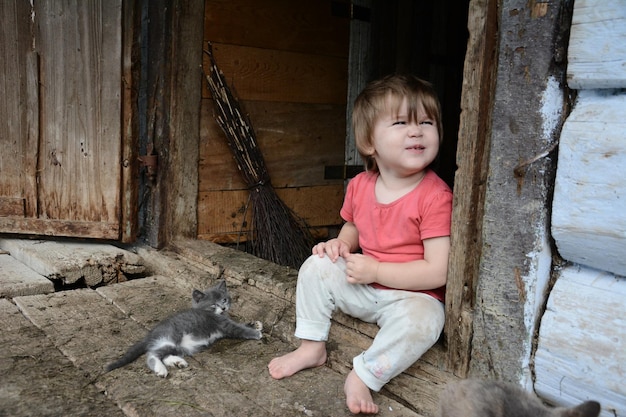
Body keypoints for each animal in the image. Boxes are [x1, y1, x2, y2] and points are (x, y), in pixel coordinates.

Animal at [105, 282, 260, 376]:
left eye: (224, 300)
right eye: (213, 305)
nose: (223, 308)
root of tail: (151, 334)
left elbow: (240, 324)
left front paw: (255, 324)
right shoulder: (222, 324)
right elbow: (238, 328)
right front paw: (256, 333)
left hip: (182, 347)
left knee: (164, 354)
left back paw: (178, 362)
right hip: (168, 338)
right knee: (152, 354)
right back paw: (161, 369)